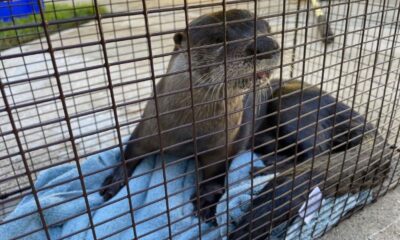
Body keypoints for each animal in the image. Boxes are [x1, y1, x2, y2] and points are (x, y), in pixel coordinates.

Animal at [101, 9, 282, 220]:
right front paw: (113, 180)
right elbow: (129, 152)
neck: (188, 132)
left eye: (267, 30)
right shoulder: (147, 127)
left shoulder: (222, 145)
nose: (266, 44)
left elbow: (216, 172)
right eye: (217, 39)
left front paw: (206, 199)